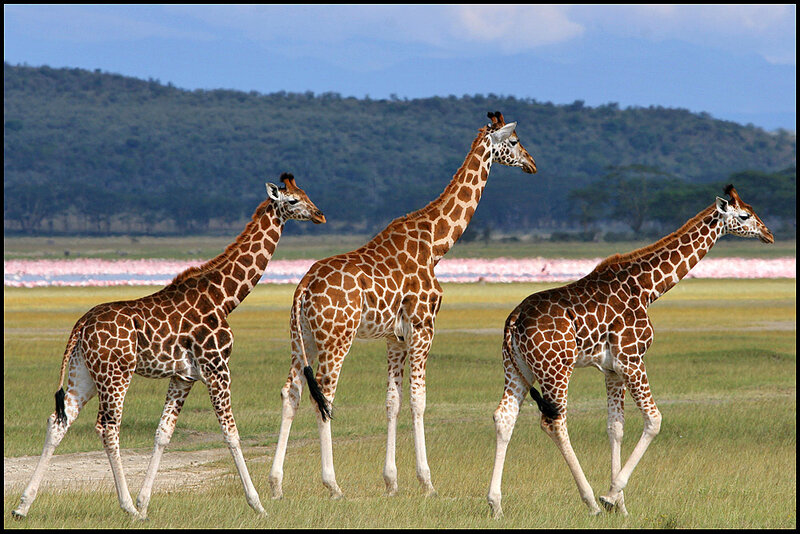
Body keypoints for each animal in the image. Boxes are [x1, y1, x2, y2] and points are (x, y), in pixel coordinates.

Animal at [12, 173, 325, 520]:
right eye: (293, 200)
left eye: (306, 193)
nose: (320, 215)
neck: (225, 297)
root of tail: (81, 325)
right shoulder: (217, 368)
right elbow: (231, 433)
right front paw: (257, 504)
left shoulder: (183, 376)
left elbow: (163, 434)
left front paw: (145, 502)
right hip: (115, 374)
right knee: (107, 428)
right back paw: (126, 506)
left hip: (85, 373)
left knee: (59, 421)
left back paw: (23, 505)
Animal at [268, 111, 537, 500]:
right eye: (514, 141)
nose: (532, 163)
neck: (437, 243)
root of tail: (302, 287)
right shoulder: (424, 327)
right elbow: (418, 399)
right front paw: (427, 482)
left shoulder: (394, 337)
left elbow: (392, 401)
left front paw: (391, 481)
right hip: (336, 339)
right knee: (325, 396)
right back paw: (333, 485)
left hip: (301, 338)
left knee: (291, 391)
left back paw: (275, 484)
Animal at [486, 185, 774, 518]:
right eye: (745, 215)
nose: (768, 234)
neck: (648, 288)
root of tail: (514, 320)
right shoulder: (632, 359)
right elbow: (654, 420)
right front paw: (610, 497)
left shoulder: (612, 369)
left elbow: (615, 427)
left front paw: (621, 506)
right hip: (556, 368)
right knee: (554, 422)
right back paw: (589, 501)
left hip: (517, 368)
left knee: (504, 417)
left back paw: (496, 505)